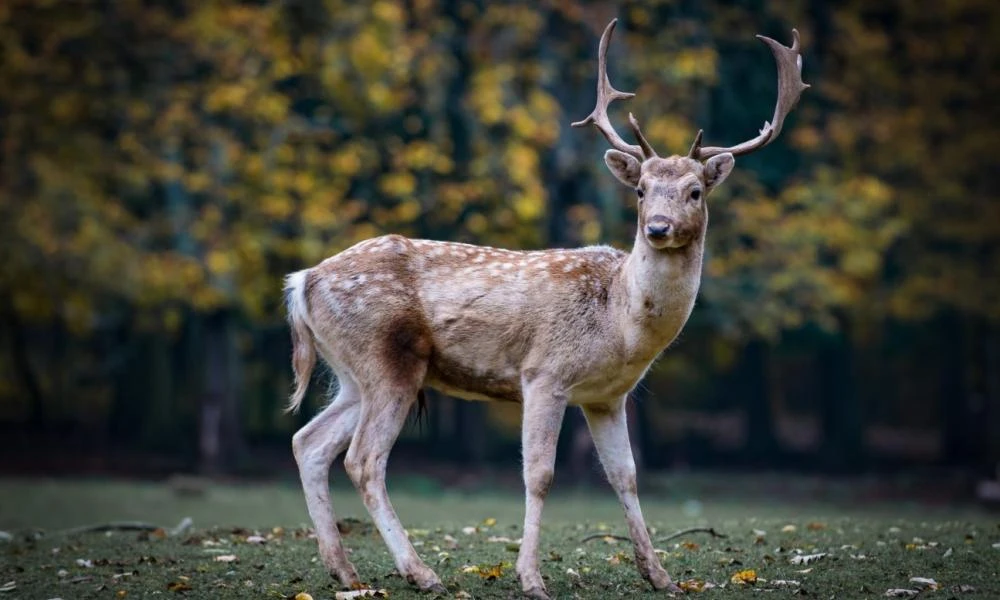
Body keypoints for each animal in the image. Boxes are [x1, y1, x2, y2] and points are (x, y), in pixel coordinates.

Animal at [288, 18, 804, 600]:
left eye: (695, 191)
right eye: (642, 190)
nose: (657, 227)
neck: (620, 323)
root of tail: (302, 281)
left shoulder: (607, 397)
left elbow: (626, 475)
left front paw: (661, 575)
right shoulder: (544, 374)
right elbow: (540, 475)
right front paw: (531, 578)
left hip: (352, 372)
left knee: (308, 441)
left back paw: (345, 570)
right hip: (386, 359)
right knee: (363, 459)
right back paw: (420, 572)